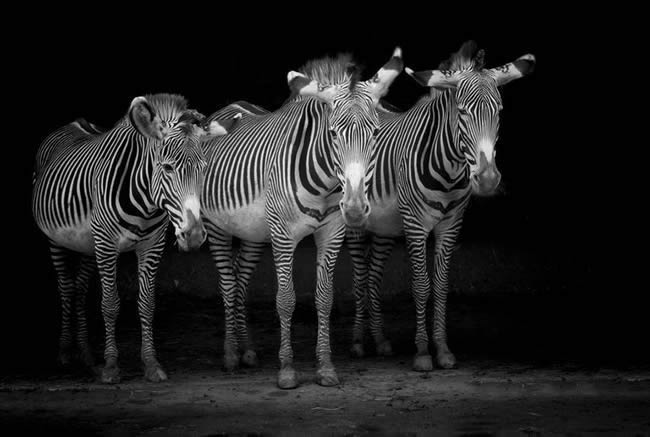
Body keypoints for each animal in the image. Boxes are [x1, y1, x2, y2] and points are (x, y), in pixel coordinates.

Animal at [32, 94, 238, 383]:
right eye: (167, 167)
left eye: (203, 169)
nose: (195, 236)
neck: (145, 204)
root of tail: (75, 123)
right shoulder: (106, 244)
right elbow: (109, 304)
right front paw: (110, 367)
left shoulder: (152, 245)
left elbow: (147, 303)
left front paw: (151, 364)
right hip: (58, 240)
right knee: (65, 287)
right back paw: (64, 353)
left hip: (86, 244)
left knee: (80, 288)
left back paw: (86, 355)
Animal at [201, 49, 403, 389]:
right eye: (333, 134)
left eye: (375, 133)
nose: (355, 209)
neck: (324, 182)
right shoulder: (283, 236)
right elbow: (285, 299)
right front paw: (287, 370)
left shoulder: (332, 233)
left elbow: (324, 298)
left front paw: (325, 368)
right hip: (217, 227)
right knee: (228, 284)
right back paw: (230, 355)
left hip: (253, 232)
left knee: (240, 281)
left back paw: (247, 350)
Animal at [346, 41, 536, 371]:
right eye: (462, 112)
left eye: (498, 112)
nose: (488, 180)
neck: (448, 171)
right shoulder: (415, 225)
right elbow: (422, 285)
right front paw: (423, 352)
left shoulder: (450, 226)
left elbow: (442, 285)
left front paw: (443, 349)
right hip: (357, 223)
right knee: (359, 278)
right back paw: (357, 342)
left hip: (384, 227)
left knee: (372, 278)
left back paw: (380, 341)